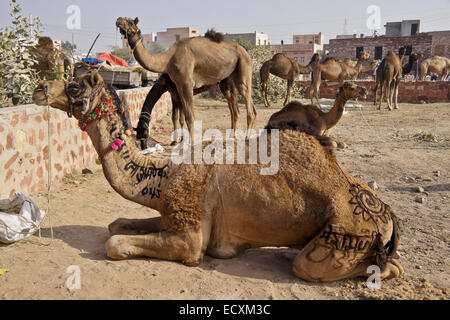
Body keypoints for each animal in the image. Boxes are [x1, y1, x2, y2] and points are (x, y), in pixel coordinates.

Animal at [31, 70, 404, 282]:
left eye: (76, 87)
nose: (39, 88)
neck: (164, 173)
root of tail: (386, 212)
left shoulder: (190, 237)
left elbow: (114, 243)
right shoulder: (173, 213)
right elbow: (116, 224)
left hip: (346, 232)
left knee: (321, 266)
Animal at [116, 17, 256, 141]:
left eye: (130, 22)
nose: (118, 20)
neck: (167, 60)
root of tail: (247, 53)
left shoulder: (185, 83)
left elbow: (189, 117)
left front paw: (190, 143)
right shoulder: (177, 89)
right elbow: (178, 117)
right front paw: (178, 140)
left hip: (244, 65)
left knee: (246, 99)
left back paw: (247, 137)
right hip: (227, 81)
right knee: (236, 109)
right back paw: (232, 136)